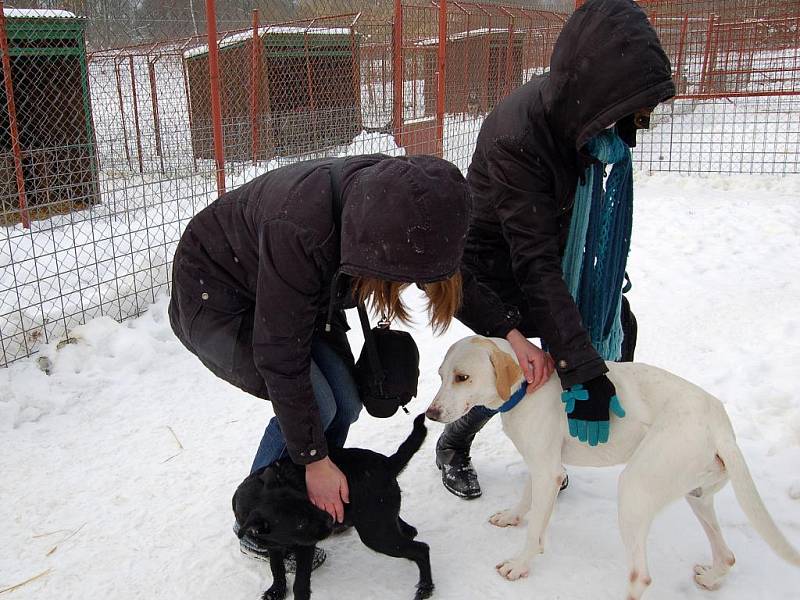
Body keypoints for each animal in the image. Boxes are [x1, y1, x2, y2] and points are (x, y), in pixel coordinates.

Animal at [233, 412, 432, 600]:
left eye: (308, 500)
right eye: (300, 523)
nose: (330, 520)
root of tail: (388, 463)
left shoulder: (305, 547)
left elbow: (300, 584)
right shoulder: (273, 546)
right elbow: (276, 568)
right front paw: (276, 591)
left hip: (375, 533)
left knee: (422, 549)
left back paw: (425, 588)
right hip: (382, 518)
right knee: (409, 532)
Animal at [428, 336, 796, 596]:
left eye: (462, 377)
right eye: (441, 376)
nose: (430, 414)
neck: (525, 388)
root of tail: (721, 427)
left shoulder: (548, 471)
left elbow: (535, 534)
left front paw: (519, 565)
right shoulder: (543, 463)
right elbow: (526, 497)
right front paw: (512, 517)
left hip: (635, 490)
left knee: (641, 577)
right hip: (697, 495)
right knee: (727, 555)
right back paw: (711, 577)